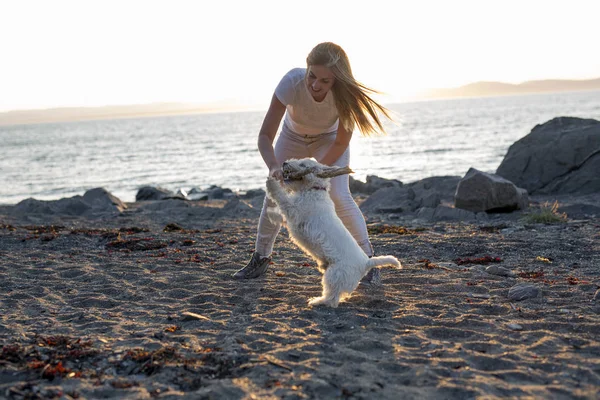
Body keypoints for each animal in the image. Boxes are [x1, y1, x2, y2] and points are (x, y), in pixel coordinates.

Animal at [264, 158, 400, 308]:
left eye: (303, 165)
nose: (284, 163)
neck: (313, 189)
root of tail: (366, 263)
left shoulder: (294, 210)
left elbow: (282, 198)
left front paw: (271, 183)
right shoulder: (290, 215)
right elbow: (279, 213)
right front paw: (270, 213)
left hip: (334, 275)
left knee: (332, 298)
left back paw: (317, 301)